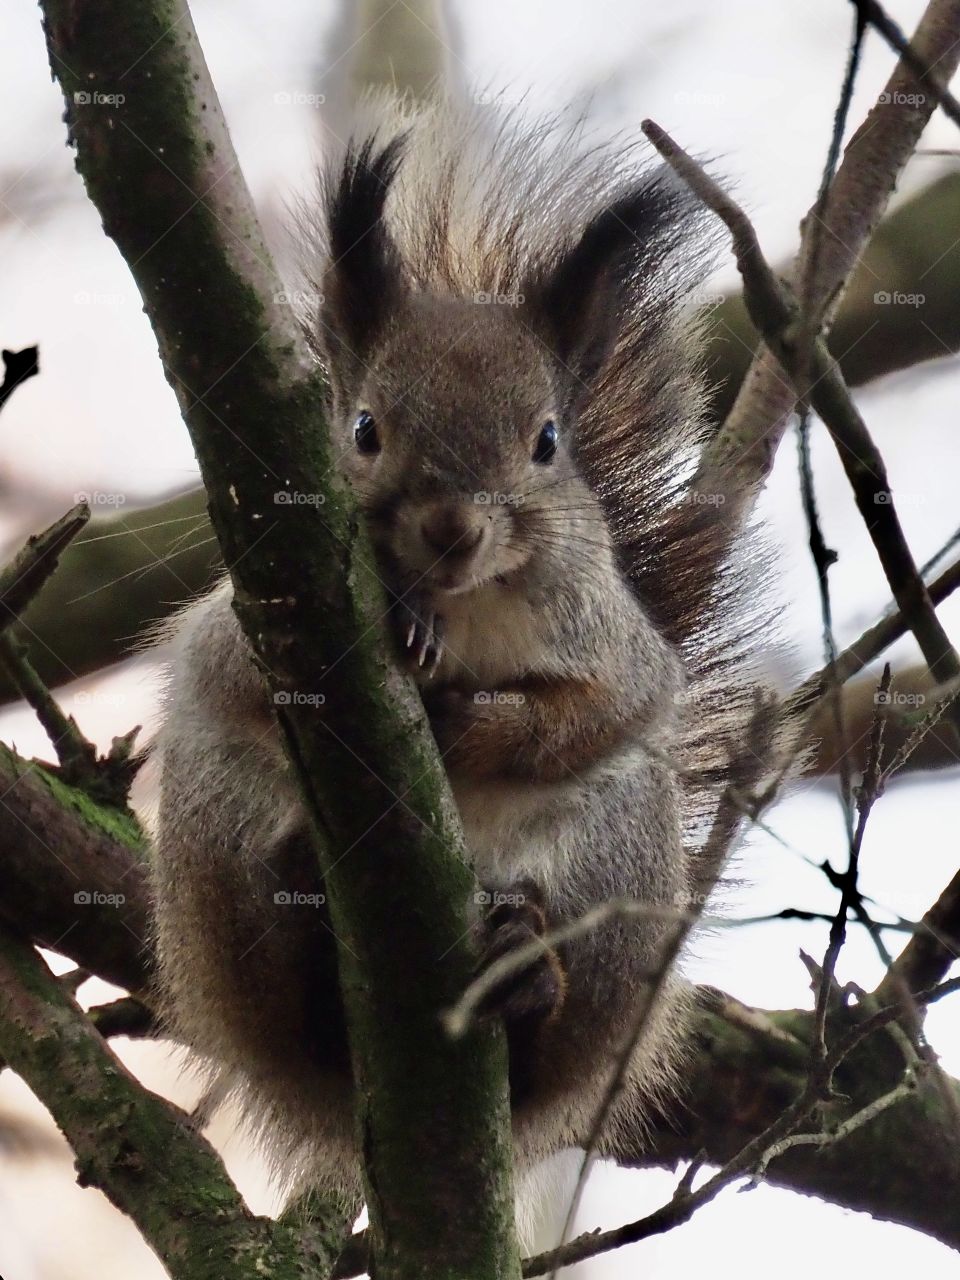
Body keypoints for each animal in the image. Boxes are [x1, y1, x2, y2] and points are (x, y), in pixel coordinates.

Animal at [149, 96, 766, 1231]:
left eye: (548, 440)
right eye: (363, 429)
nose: (452, 529)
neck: (470, 605)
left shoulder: (614, 647)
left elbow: (597, 711)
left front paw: (479, 719)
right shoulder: (243, 618)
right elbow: (239, 674)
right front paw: (412, 631)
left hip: (615, 873)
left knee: (545, 1037)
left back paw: (526, 980)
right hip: (217, 860)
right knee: (291, 1000)